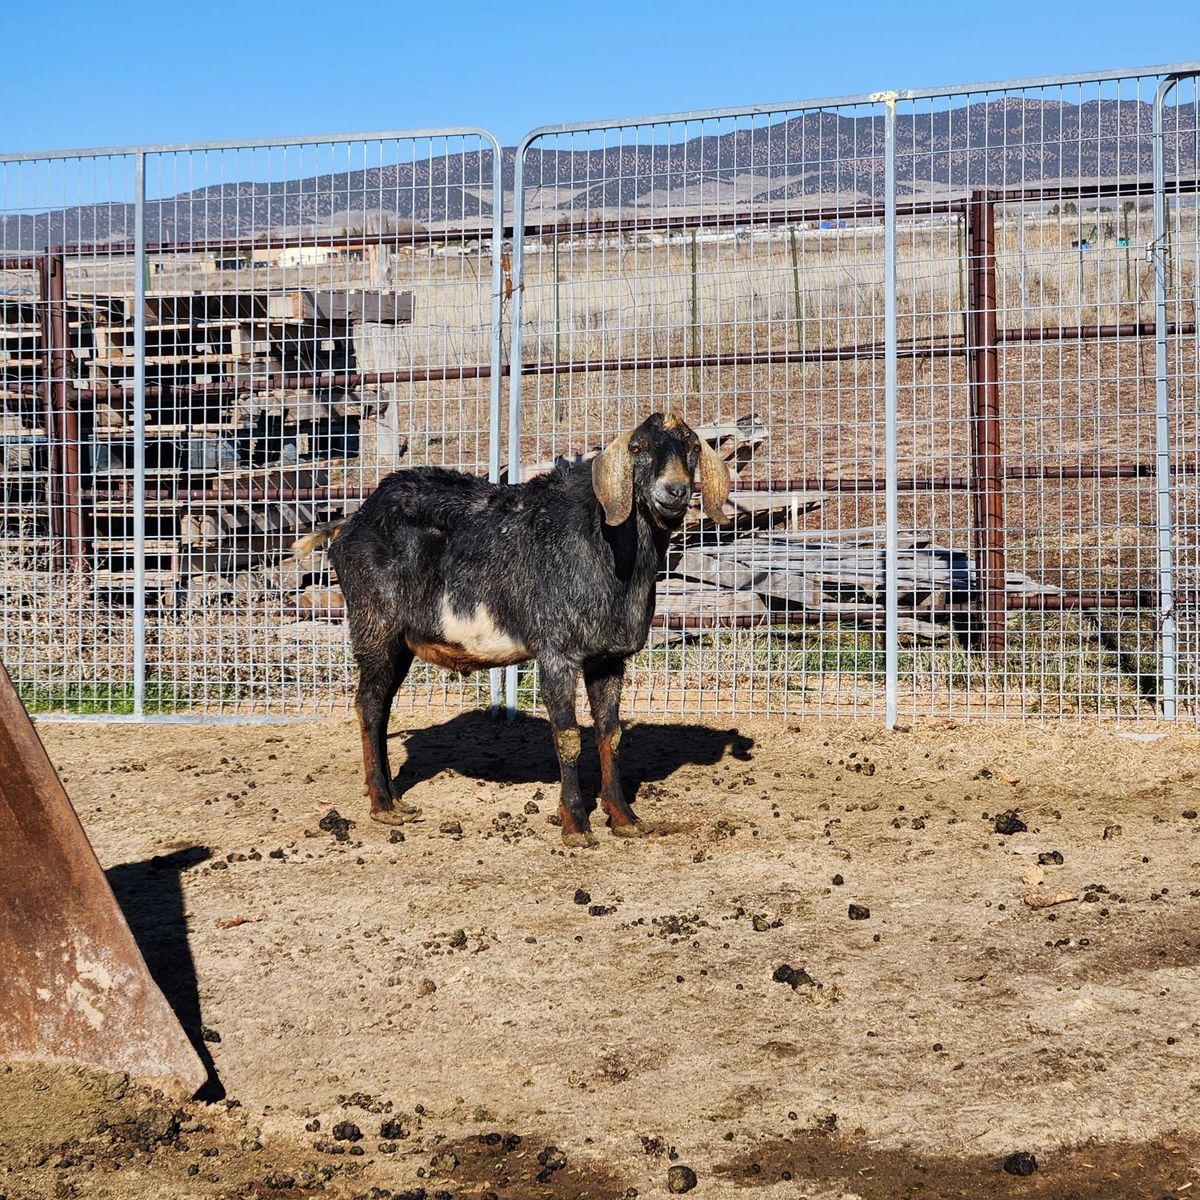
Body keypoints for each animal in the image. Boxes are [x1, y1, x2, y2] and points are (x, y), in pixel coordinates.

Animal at [295, 412, 731, 847]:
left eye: (693, 448)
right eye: (637, 448)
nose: (675, 491)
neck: (608, 549)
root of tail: (350, 525)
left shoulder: (609, 658)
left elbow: (610, 734)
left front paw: (624, 818)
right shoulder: (557, 652)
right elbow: (568, 737)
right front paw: (576, 826)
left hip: (400, 642)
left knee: (383, 706)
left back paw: (395, 799)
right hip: (375, 626)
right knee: (369, 706)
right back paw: (383, 806)